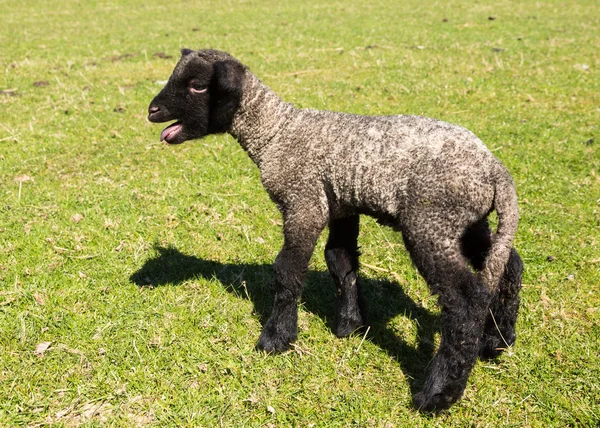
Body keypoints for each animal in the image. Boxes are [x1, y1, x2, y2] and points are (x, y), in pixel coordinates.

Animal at [148, 48, 524, 412]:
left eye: (198, 85)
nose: (152, 111)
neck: (275, 132)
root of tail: (495, 170)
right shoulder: (342, 204)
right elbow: (340, 260)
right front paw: (350, 324)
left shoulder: (304, 203)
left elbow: (288, 269)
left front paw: (277, 338)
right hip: (467, 221)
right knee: (509, 264)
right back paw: (497, 341)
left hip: (431, 222)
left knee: (466, 300)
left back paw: (438, 394)